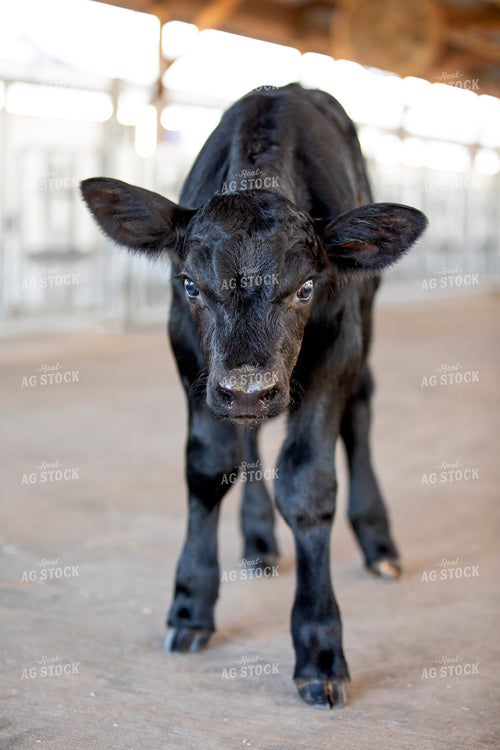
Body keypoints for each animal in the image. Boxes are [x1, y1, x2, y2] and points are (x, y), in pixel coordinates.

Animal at [81, 83, 427, 709]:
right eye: (191, 285)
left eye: (306, 288)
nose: (248, 389)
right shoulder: (188, 351)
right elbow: (206, 466)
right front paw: (190, 605)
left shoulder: (338, 344)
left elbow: (309, 484)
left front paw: (319, 649)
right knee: (245, 437)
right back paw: (260, 537)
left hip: (364, 321)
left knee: (360, 412)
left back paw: (379, 543)